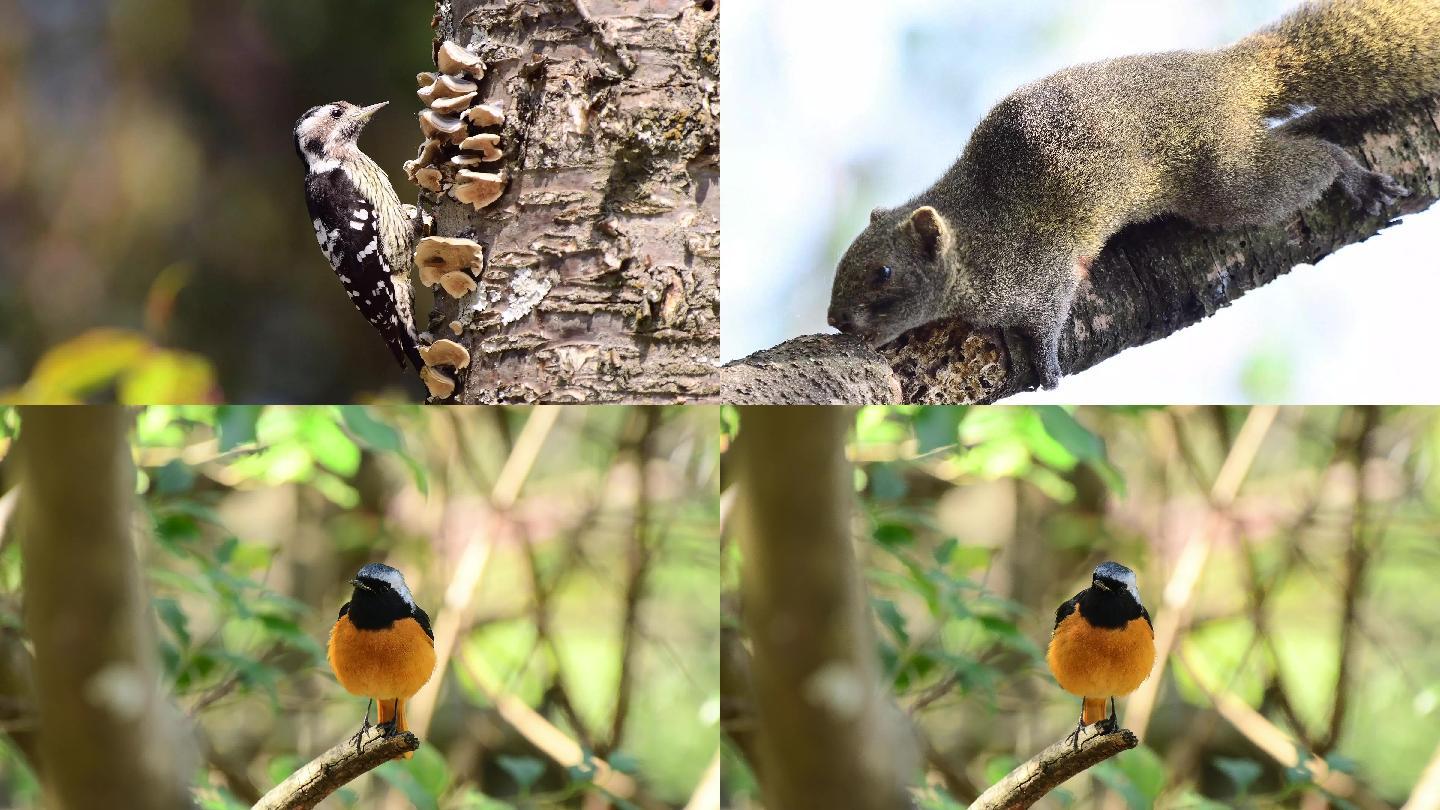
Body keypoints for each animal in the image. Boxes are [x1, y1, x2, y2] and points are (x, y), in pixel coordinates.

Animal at [823, 0, 1440, 389]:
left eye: (883, 273)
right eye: (844, 260)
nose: (835, 320)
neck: (975, 235)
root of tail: (1233, 73)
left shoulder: (1039, 270)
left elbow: (1050, 313)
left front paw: (1046, 363)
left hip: (1229, 183)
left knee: (1308, 164)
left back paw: (1352, 173)